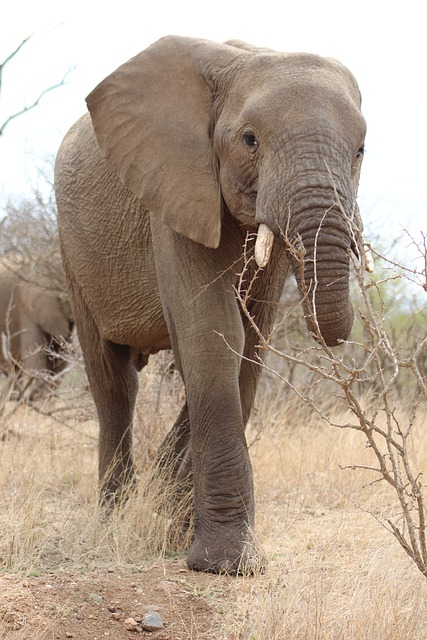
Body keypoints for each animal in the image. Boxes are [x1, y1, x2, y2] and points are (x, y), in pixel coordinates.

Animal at [54, 35, 372, 576]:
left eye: (361, 150)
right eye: (249, 140)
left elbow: (249, 347)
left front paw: (180, 524)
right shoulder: (176, 187)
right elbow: (212, 334)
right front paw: (226, 564)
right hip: (74, 252)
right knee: (114, 384)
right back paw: (115, 519)